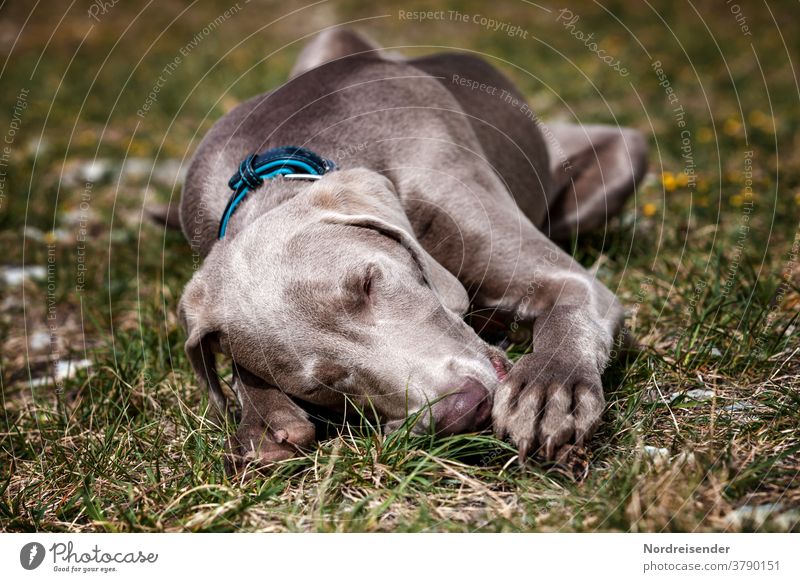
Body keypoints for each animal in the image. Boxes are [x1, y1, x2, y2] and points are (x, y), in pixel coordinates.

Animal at [178, 28, 648, 470]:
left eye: (368, 282)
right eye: (320, 385)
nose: (464, 408)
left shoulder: (562, 275)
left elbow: (568, 309)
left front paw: (550, 390)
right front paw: (264, 419)